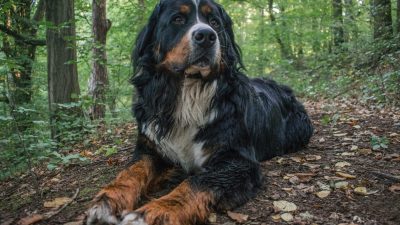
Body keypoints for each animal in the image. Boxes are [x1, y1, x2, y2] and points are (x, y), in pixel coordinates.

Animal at [86, 0, 314, 225]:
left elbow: (197, 181)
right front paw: (105, 202)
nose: (206, 36)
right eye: (178, 19)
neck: (189, 92)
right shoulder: (150, 147)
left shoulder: (238, 160)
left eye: (214, 22)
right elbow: (131, 171)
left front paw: (154, 213)